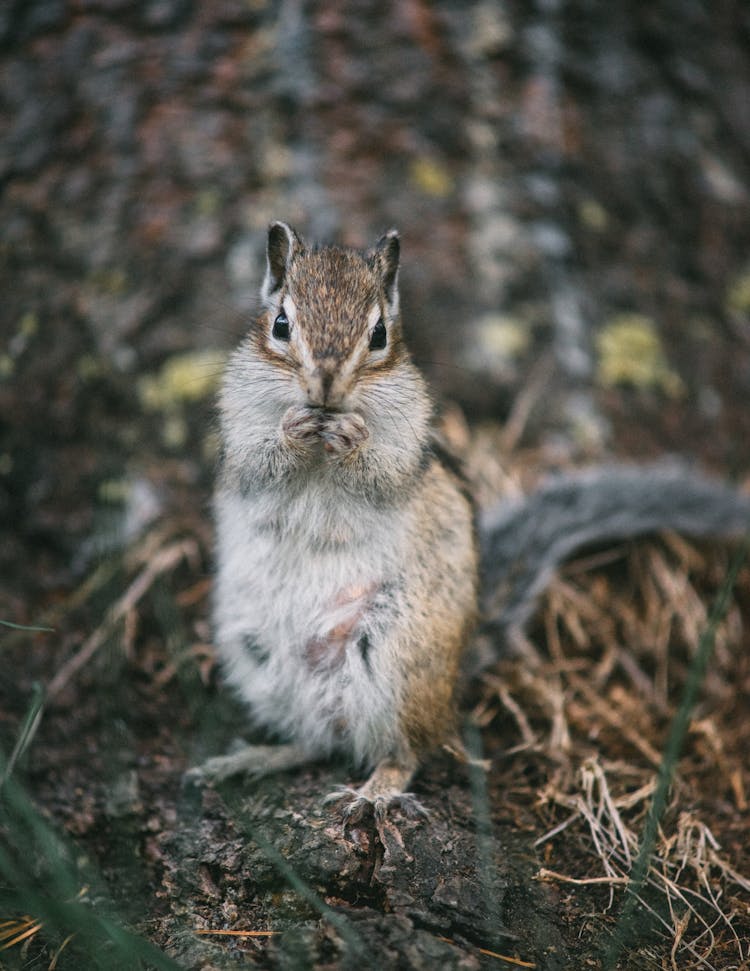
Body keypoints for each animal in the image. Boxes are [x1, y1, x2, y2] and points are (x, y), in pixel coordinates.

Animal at [189, 222, 750, 820]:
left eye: (379, 335)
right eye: (281, 324)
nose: (324, 386)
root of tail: (456, 671)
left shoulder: (406, 450)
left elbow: (378, 472)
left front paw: (351, 436)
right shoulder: (239, 435)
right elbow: (262, 461)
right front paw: (295, 427)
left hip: (395, 657)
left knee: (403, 750)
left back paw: (373, 792)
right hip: (260, 661)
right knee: (317, 740)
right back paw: (252, 759)